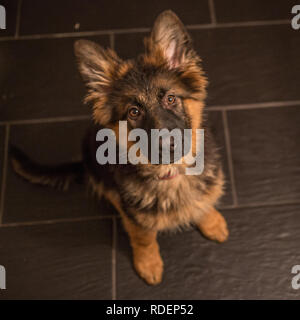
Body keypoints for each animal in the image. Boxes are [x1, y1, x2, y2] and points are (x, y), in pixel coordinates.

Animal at [10, 10, 229, 284]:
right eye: (134, 112)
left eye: (170, 99)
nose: (167, 146)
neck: (170, 174)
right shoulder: (136, 217)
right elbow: (143, 237)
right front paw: (148, 263)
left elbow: (203, 201)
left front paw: (210, 220)